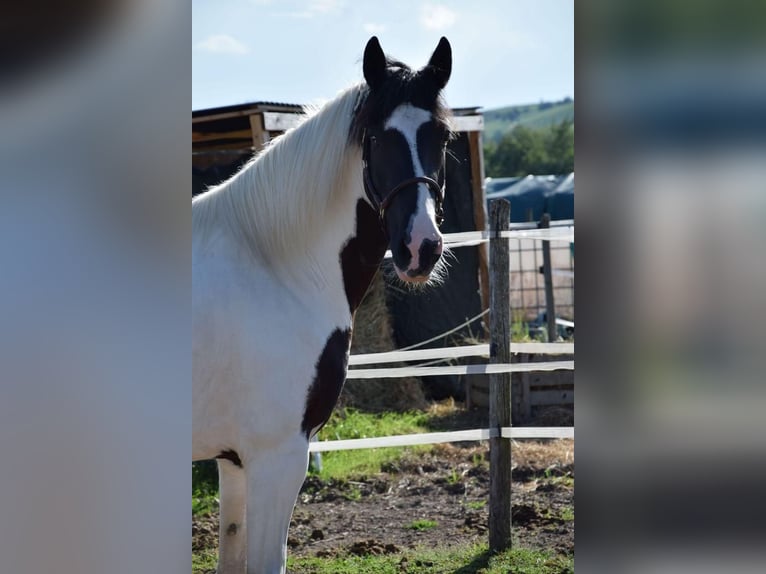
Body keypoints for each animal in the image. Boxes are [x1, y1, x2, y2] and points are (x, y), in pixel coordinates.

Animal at [195, 37, 452, 574]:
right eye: (376, 138)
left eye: (440, 135)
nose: (421, 247)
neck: (272, 266)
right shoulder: (277, 456)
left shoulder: (234, 460)